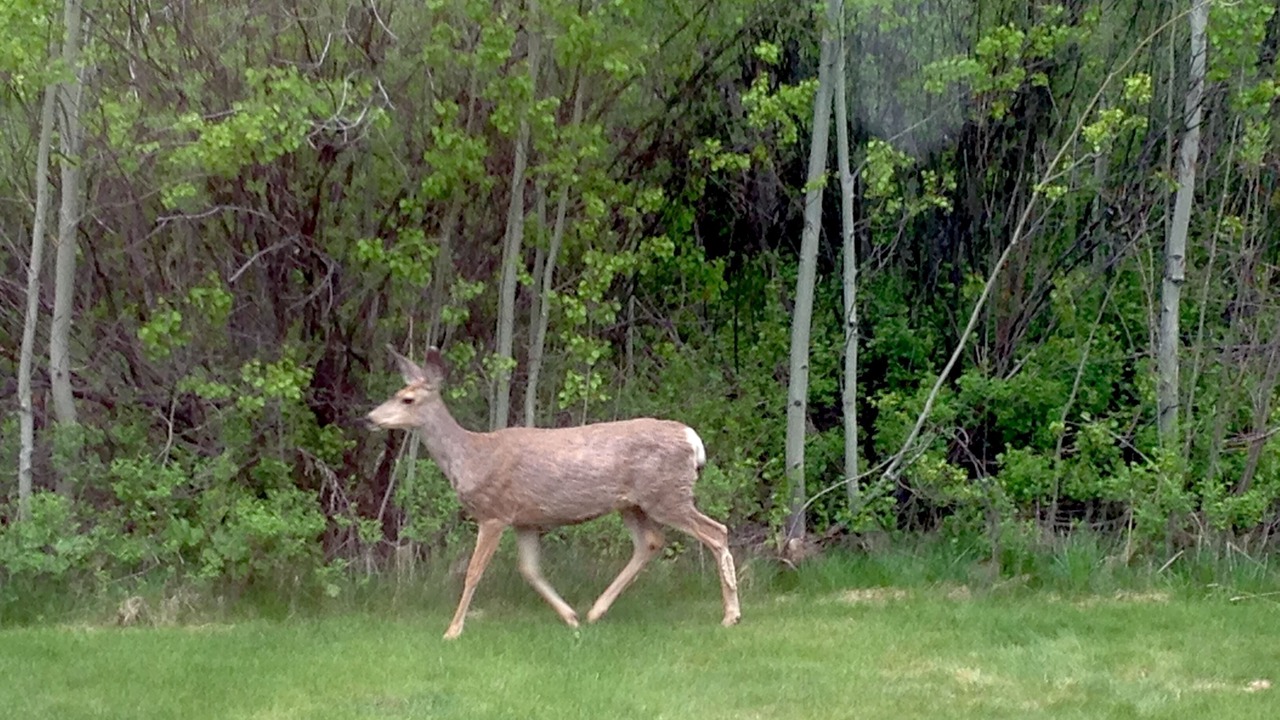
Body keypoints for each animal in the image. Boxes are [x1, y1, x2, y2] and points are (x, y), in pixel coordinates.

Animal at [365, 345, 741, 639]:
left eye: (407, 398)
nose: (369, 418)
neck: (471, 457)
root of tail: (693, 440)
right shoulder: (525, 520)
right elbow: (530, 570)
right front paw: (570, 617)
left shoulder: (494, 512)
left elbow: (473, 572)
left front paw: (452, 630)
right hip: (633, 503)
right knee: (651, 542)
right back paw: (595, 611)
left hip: (667, 494)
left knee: (716, 531)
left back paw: (731, 615)